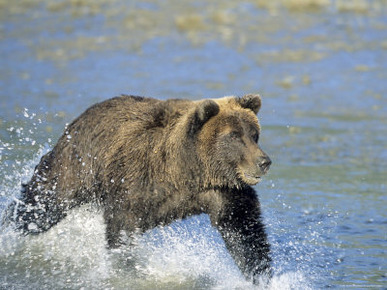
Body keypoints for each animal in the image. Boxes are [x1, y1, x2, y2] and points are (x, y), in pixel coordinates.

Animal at [6, 94, 272, 284]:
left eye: (254, 134)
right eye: (234, 135)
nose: (264, 161)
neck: (185, 171)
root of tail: (77, 120)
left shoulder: (222, 190)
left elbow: (243, 230)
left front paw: (262, 275)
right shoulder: (134, 182)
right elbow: (121, 230)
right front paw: (128, 270)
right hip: (75, 166)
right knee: (43, 204)